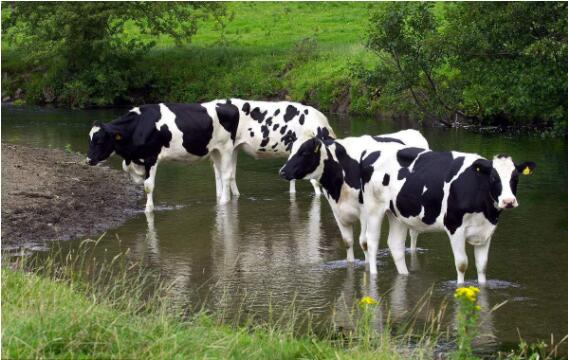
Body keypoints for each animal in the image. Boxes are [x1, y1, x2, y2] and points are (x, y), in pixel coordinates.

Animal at [278, 129, 428, 264]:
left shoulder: (365, 213)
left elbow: (364, 243)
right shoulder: (337, 211)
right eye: (290, 151)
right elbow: (348, 242)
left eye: (304, 152)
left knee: (413, 234)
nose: (282, 172)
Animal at [362, 148, 536, 282]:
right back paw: (374, 274)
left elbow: (482, 265)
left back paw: (405, 275)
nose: (508, 201)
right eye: (494, 178)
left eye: (515, 177)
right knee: (371, 242)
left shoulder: (487, 230)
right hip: (373, 209)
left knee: (395, 245)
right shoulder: (454, 227)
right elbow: (462, 264)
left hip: (398, 214)